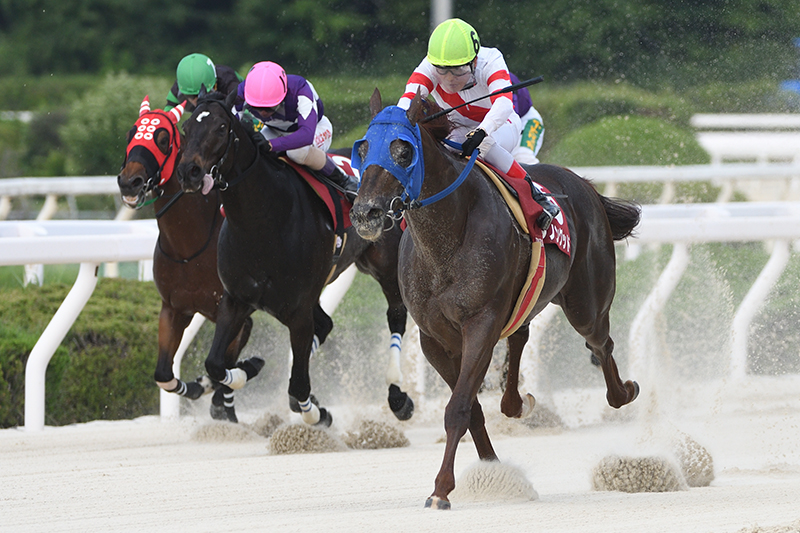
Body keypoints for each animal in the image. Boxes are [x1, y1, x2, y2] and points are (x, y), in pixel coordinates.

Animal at [117, 96, 257, 422]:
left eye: (163, 139)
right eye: (131, 134)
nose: (130, 181)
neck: (189, 247)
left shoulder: (238, 312)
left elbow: (224, 365)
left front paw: (227, 394)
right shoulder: (174, 308)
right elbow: (163, 374)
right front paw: (197, 388)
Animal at [175, 90, 414, 426]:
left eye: (221, 128)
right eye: (186, 128)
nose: (189, 172)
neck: (262, 222)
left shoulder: (298, 311)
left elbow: (300, 384)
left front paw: (315, 413)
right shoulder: (236, 300)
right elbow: (215, 364)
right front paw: (248, 368)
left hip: (385, 265)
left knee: (396, 315)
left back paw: (397, 396)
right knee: (325, 325)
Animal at [349, 91, 641, 509]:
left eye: (403, 150)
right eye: (362, 148)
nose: (365, 212)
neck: (444, 243)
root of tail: (584, 184)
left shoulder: (480, 323)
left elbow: (458, 408)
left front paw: (441, 490)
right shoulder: (434, 339)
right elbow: (471, 410)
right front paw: (494, 472)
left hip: (586, 301)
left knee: (601, 344)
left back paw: (624, 391)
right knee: (521, 335)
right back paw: (516, 402)